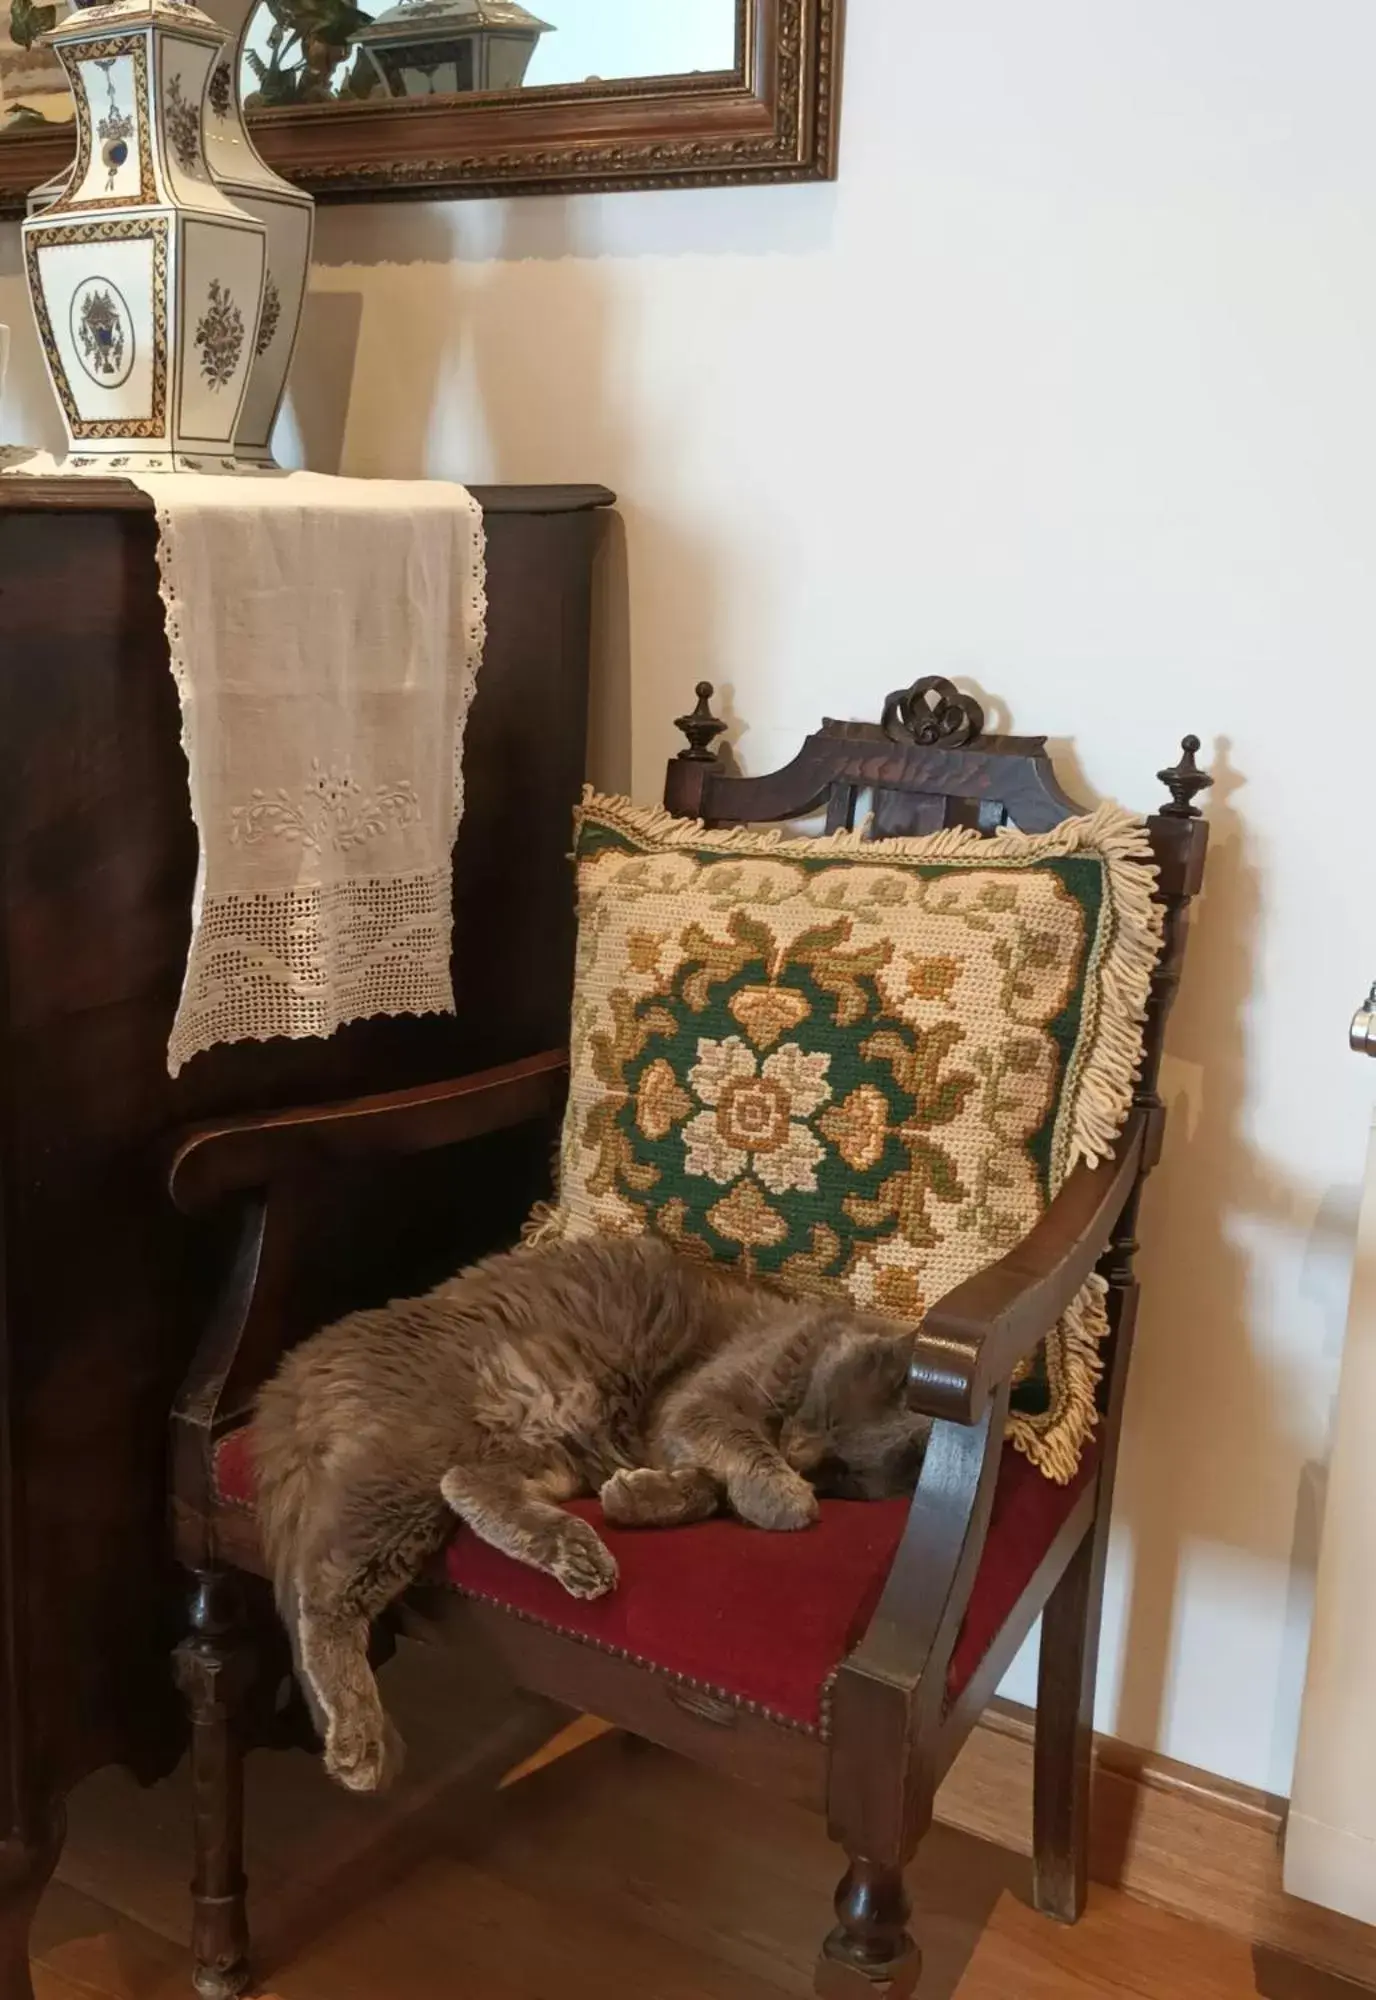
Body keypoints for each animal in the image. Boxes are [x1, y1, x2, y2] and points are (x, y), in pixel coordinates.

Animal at [253, 1232, 928, 1800]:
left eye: (844, 1472)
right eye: (830, 1421)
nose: (803, 1458)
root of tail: (295, 1374)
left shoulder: (676, 1436)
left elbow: (704, 1489)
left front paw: (634, 1499)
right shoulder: (699, 1400)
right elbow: (738, 1456)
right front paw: (786, 1502)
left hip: (540, 1449)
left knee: (468, 1486)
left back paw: (580, 1555)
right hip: (414, 1462)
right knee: (327, 1591)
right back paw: (358, 1745)